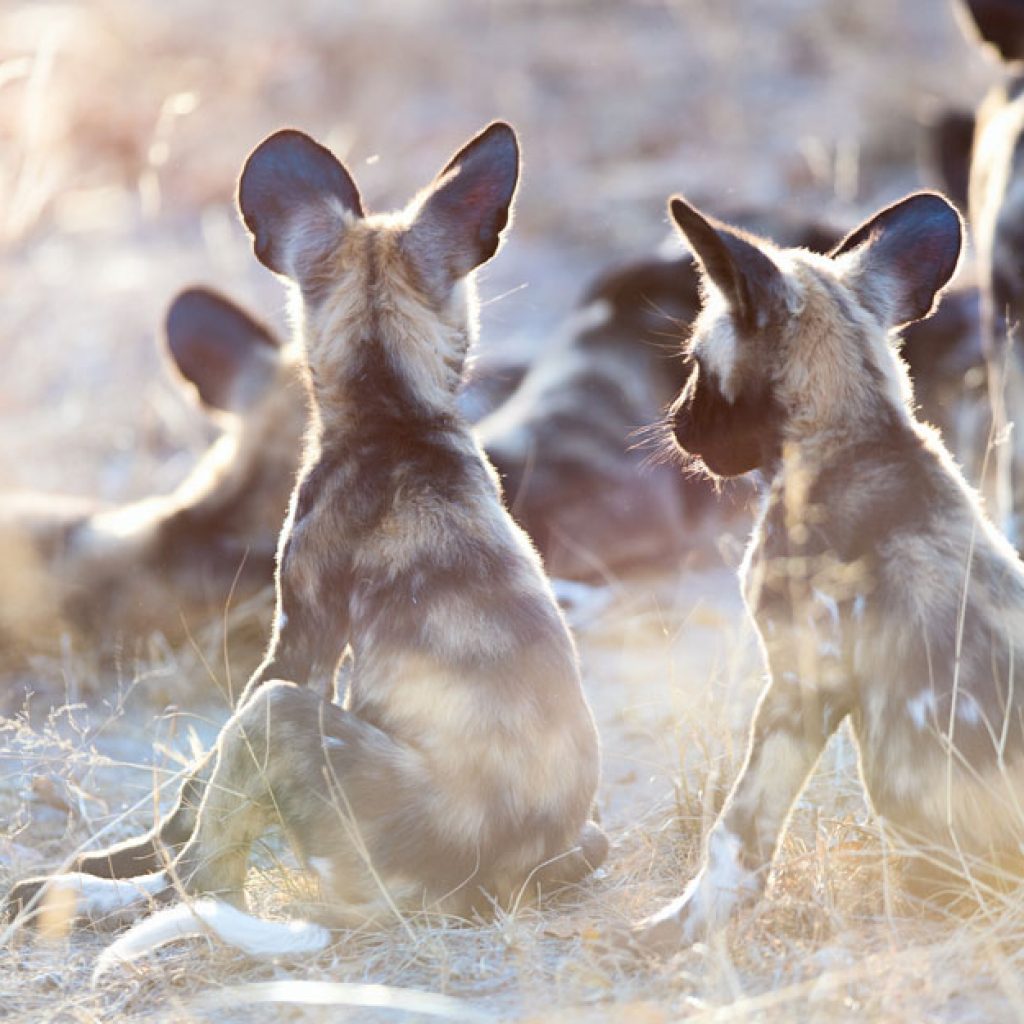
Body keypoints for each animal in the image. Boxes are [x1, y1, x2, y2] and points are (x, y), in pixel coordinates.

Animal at [622, 186, 1024, 958]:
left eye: (694, 363)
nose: (677, 421)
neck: (849, 436)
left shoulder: (800, 683)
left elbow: (735, 837)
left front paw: (680, 930)